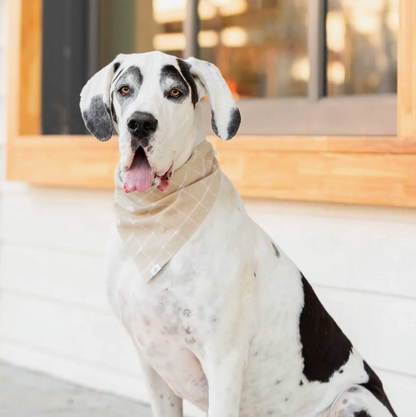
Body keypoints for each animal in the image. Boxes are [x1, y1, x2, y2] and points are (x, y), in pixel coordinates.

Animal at [80, 52, 396, 416]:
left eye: (174, 92)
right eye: (125, 89)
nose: (141, 123)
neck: (156, 226)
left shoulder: (223, 362)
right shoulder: (152, 362)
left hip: (353, 396)